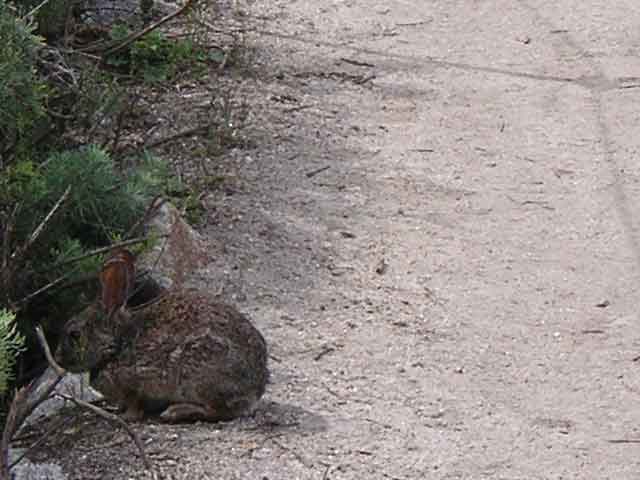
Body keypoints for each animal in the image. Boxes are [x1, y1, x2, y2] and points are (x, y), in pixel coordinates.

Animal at [57, 249, 269, 423]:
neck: (116, 343)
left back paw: (176, 412)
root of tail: (255, 388)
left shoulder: (134, 382)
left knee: (220, 411)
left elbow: (134, 406)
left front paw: (125, 416)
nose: (58, 359)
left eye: (75, 334)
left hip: (198, 376)